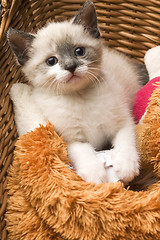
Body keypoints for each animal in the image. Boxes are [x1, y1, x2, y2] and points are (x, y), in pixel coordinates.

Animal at [7, 0, 145, 184]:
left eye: (79, 51)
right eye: (51, 61)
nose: (71, 66)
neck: (80, 96)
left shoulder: (122, 122)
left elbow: (126, 140)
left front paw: (127, 165)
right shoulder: (69, 138)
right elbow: (83, 150)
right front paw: (95, 174)